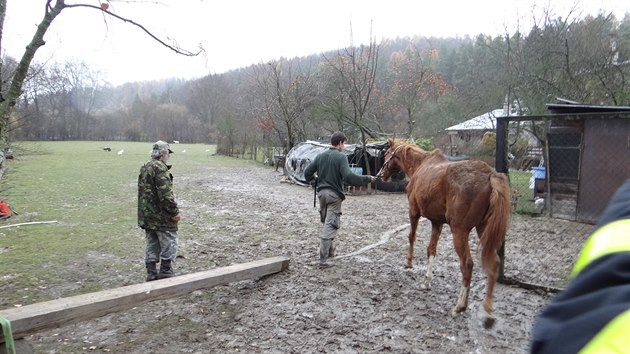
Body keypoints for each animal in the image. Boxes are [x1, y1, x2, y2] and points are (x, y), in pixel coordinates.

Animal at [378, 138, 512, 330]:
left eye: (387, 155)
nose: (381, 174)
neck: (420, 165)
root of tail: (490, 176)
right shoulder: (437, 222)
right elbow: (431, 249)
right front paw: (427, 281)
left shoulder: (413, 212)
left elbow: (411, 237)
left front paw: (409, 263)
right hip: (483, 230)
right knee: (493, 264)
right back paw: (487, 313)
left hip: (459, 232)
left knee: (467, 265)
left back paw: (460, 306)